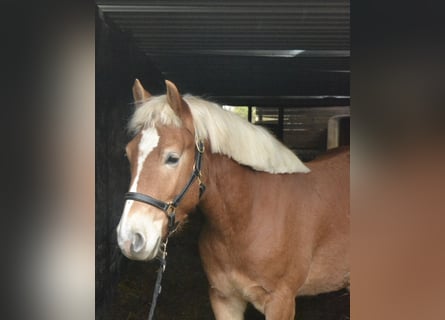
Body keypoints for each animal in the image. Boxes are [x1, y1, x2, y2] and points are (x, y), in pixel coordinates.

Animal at [116, 78, 348, 320]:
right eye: (128, 154)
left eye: (172, 158)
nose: (129, 238)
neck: (247, 218)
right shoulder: (224, 299)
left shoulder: (281, 303)